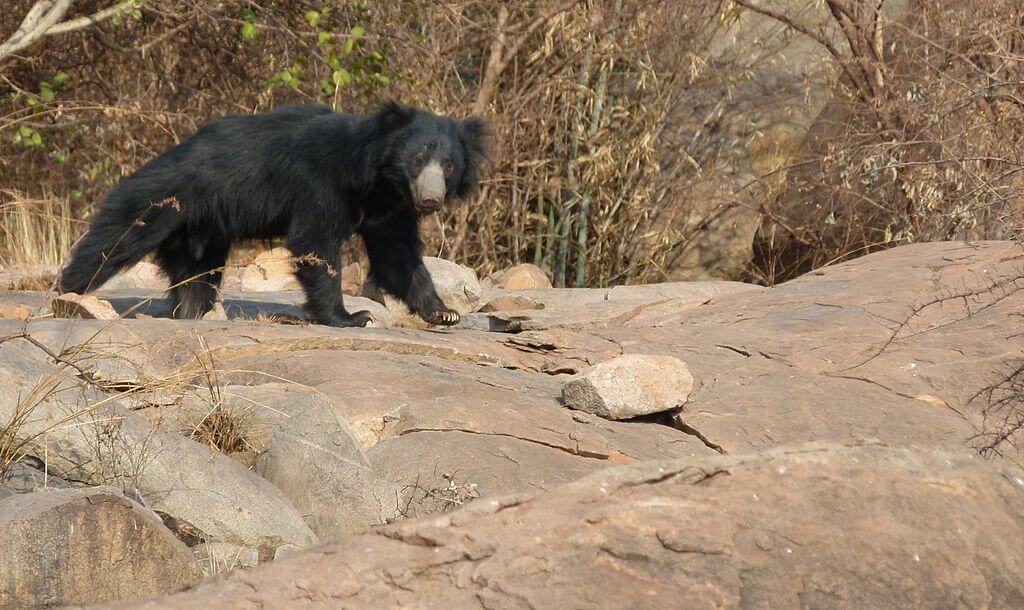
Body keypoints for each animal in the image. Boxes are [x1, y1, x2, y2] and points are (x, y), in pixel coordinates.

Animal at [58, 102, 487, 325]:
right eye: (416, 161)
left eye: (449, 166)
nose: (430, 200)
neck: (379, 181)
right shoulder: (322, 183)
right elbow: (315, 243)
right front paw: (351, 316)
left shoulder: (391, 210)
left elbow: (398, 255)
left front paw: (444, 313)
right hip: (159, 199)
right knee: (113, 242)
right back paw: (69, 294)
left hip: (202, 228)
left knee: (197, 271)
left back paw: (193, 311)